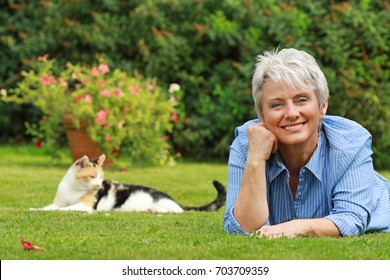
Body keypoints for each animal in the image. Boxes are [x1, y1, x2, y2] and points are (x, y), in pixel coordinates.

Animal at [30, 154, 227, 213]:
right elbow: (49, 207)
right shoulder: (58, 202)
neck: (74, 189)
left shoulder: (85, 206)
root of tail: (173, 199)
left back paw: (155, 210)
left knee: (177, 211)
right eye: (93, 177)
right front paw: (34, 209)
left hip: (165, 202)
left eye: (101, 178)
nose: (99, 186)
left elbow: (65, 209)